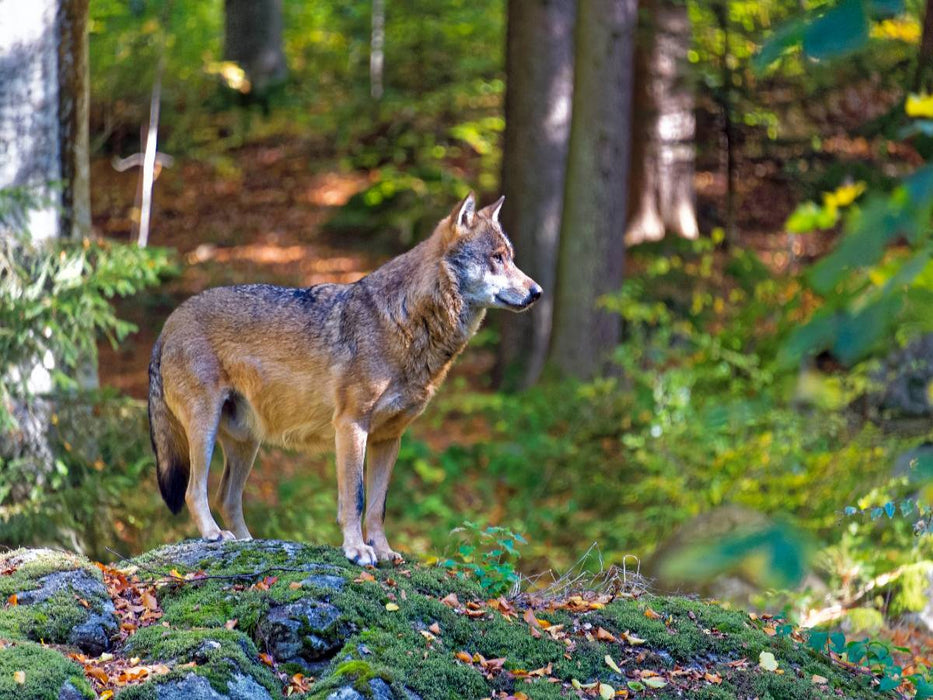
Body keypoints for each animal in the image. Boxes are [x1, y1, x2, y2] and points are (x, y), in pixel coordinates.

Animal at [148, 193, 541, 565]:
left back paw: (247, 543)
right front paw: (356, 550)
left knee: (226, 496)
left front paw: (383, 552)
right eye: (497, 258)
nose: (537, 292)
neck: (405, 321)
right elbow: (356, 498)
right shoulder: (351, 425)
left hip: (247, 442)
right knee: (194, 491)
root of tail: (168, 323)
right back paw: (213, 535)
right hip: (206, 429)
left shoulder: (390, 438)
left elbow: (379, 507)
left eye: (510, 257)